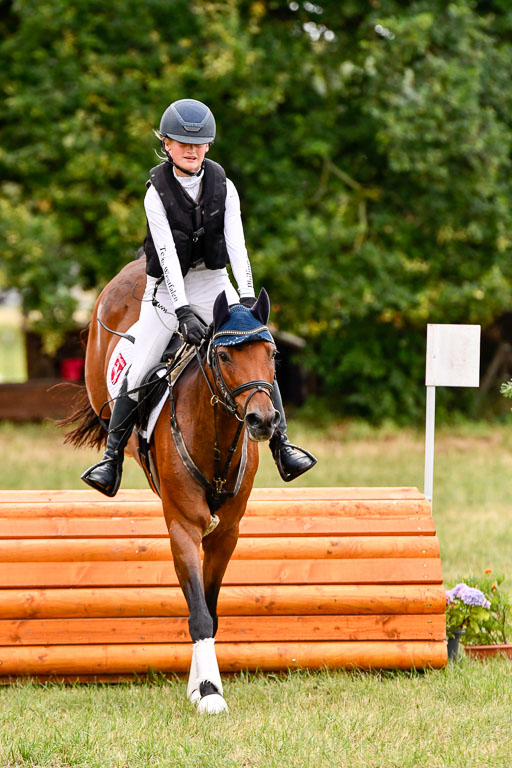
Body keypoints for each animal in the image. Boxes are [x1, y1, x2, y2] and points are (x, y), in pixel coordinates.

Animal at [65, 258, 280, 712]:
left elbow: (209, 609)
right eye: (223, 355)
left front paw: (199, 685)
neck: (215, 437)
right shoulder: (182, 525)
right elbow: (198, 610)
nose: (263, 420)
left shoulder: (225, 534)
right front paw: (211, 691)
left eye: (272, 354)